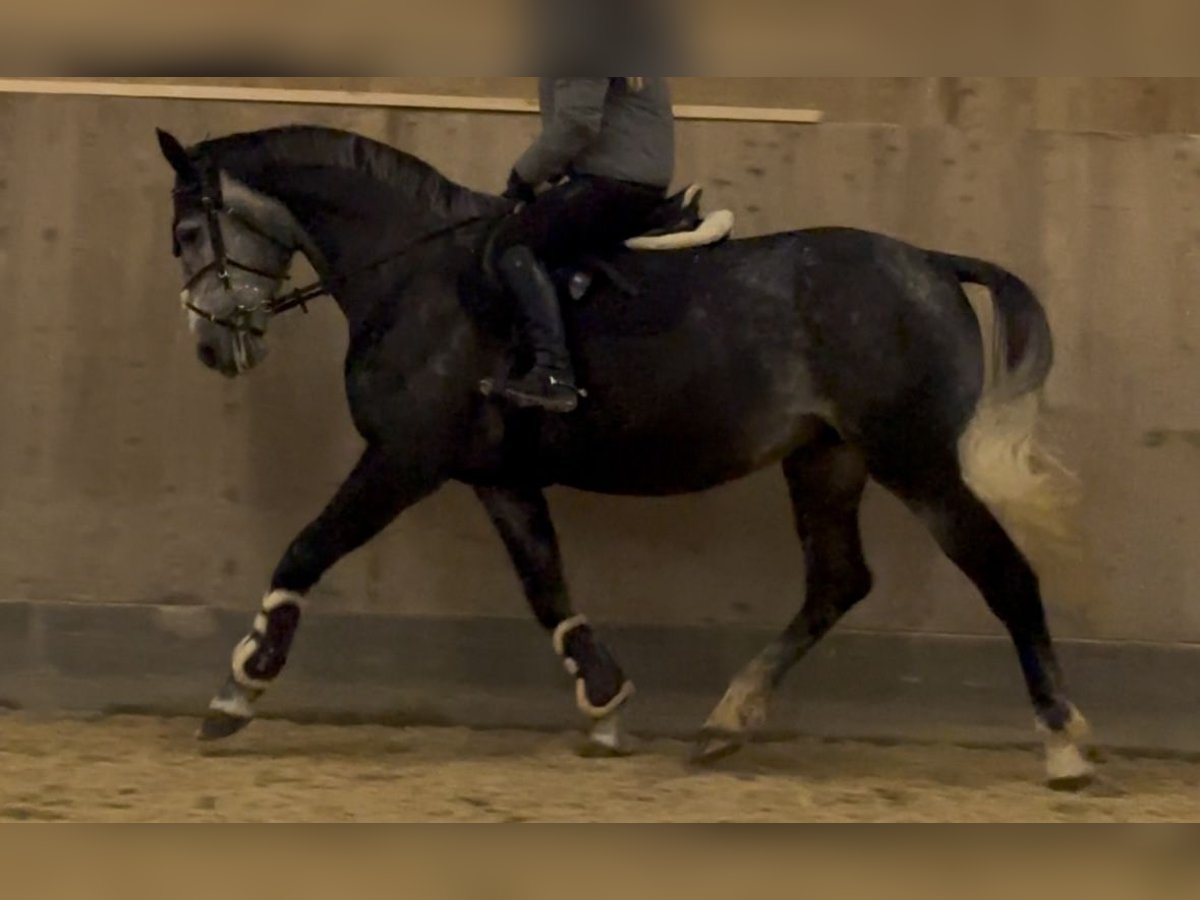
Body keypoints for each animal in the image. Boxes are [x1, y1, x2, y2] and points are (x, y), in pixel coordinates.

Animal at [154, 121, 1094, 787]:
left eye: (190, 232)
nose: (209, 345)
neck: (418, 277)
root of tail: (928, 261)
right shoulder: (496, 476)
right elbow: (548, 589)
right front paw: (605, 702)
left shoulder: (403, 460)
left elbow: (306, 550)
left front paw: (238, 688)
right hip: (827, 459)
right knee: (837, 582)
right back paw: (724, 725)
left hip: (917, 461)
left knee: (1004, 575)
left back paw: (1064, 744)